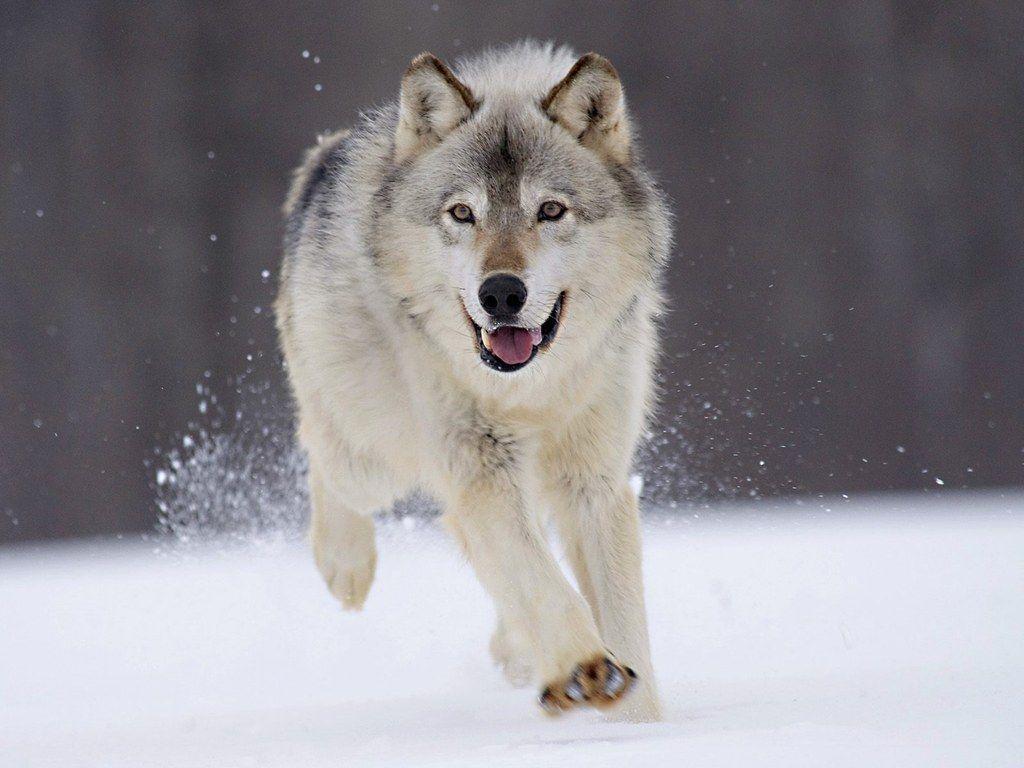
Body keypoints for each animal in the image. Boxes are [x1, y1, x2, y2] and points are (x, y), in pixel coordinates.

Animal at [275, 41, 671, 721]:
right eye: (462, 213)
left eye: (550, 210)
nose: (501, 293)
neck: (530, 392)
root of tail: (325, 155)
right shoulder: (480, 468)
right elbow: (542, 581)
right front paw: (585, 667)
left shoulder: (594, 482)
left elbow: (620, 618)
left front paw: (639, 719)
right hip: (373, 456)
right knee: (322, 451)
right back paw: (344, 565)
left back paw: (518, 654)